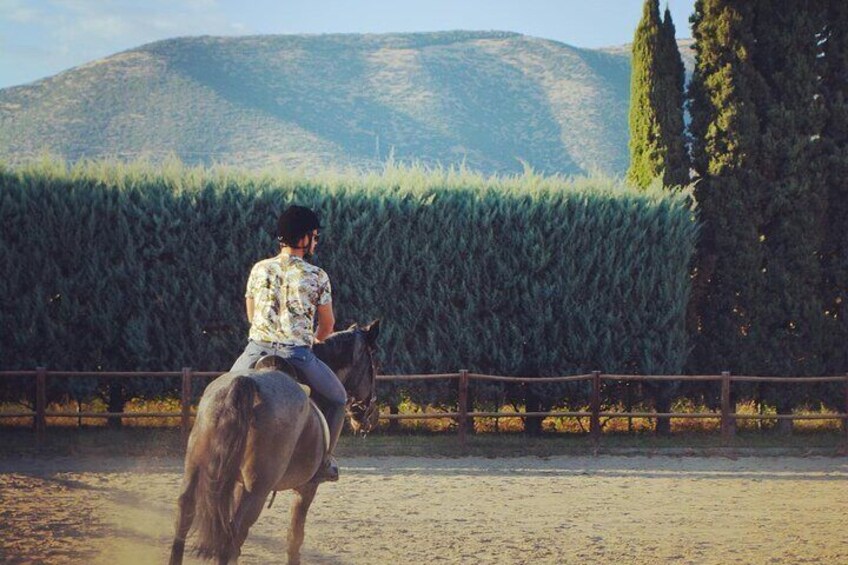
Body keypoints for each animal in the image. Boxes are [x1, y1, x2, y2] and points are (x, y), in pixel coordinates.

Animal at [167, 320, 380, 560]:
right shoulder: (307, 487)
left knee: (186, 517)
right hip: (258, 490)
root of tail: (243, 383)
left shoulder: (237, 483)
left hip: (196, 470)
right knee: (231, 537)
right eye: (375, 363)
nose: (370, 415)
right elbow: (295, 538)